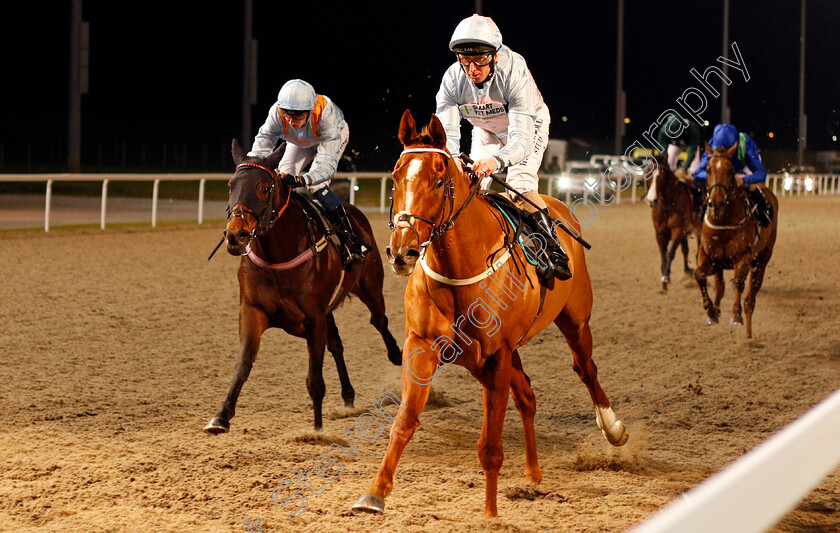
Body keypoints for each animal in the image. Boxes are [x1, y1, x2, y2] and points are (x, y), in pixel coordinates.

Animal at [203, 139, 400, 434]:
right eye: (230, 185)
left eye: (264, 189)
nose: (235, 235)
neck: (278, 256)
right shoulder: (253, 309)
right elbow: (243, 364)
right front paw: (221, 416)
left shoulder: (314, 318)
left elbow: (315, 380)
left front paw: (316, 431)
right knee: (337, 343)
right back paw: (348, 395)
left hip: (370, 286)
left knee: (379, 321)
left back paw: (397, 355)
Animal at [352, 111, 628, 516]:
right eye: (396, 176)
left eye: (438, 180)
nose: (402, 251)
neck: (459, 269)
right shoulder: (424, 346)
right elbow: (404, 421)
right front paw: (374, 494)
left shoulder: (496, 355)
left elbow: (490, 447)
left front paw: (491, 514)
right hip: (502, 353)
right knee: (527, 395)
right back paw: (532, 474)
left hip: (575, 320)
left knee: (585, 369)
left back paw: (612, 427)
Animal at [648, 156, 700, 290]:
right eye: (648, 173)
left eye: (661, 175)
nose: (651, 200)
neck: (668, 206)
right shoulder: (659, 233)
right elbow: (664, 255)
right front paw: (665, 277)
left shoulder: (678, 231)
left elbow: (670, 254)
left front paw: (665, 280)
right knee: (686, 250)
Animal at [692, 142, 776, 336]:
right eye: (708, 169)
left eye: (730, 170)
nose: (717, 201)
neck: (724, 222)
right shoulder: (709, 256)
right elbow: (699, 275)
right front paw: (711, 311)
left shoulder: (743, 256)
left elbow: (738, 282)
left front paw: (736, 315)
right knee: (720, 285)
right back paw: (716, 310)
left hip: (763, 257)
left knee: (754, 287)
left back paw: (747, 312)